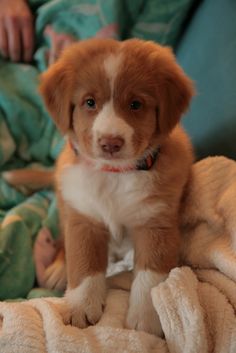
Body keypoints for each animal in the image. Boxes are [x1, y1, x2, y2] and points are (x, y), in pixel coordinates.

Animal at [38, 37, 195, 334]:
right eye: (89, 102)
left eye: (135, 104)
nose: (110, 143)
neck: (115, 175)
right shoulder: (83, 218)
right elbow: (84, 263)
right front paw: (81, 305)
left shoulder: (156, 222)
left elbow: (150, 275)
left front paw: (147, 318)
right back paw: (57, 267)